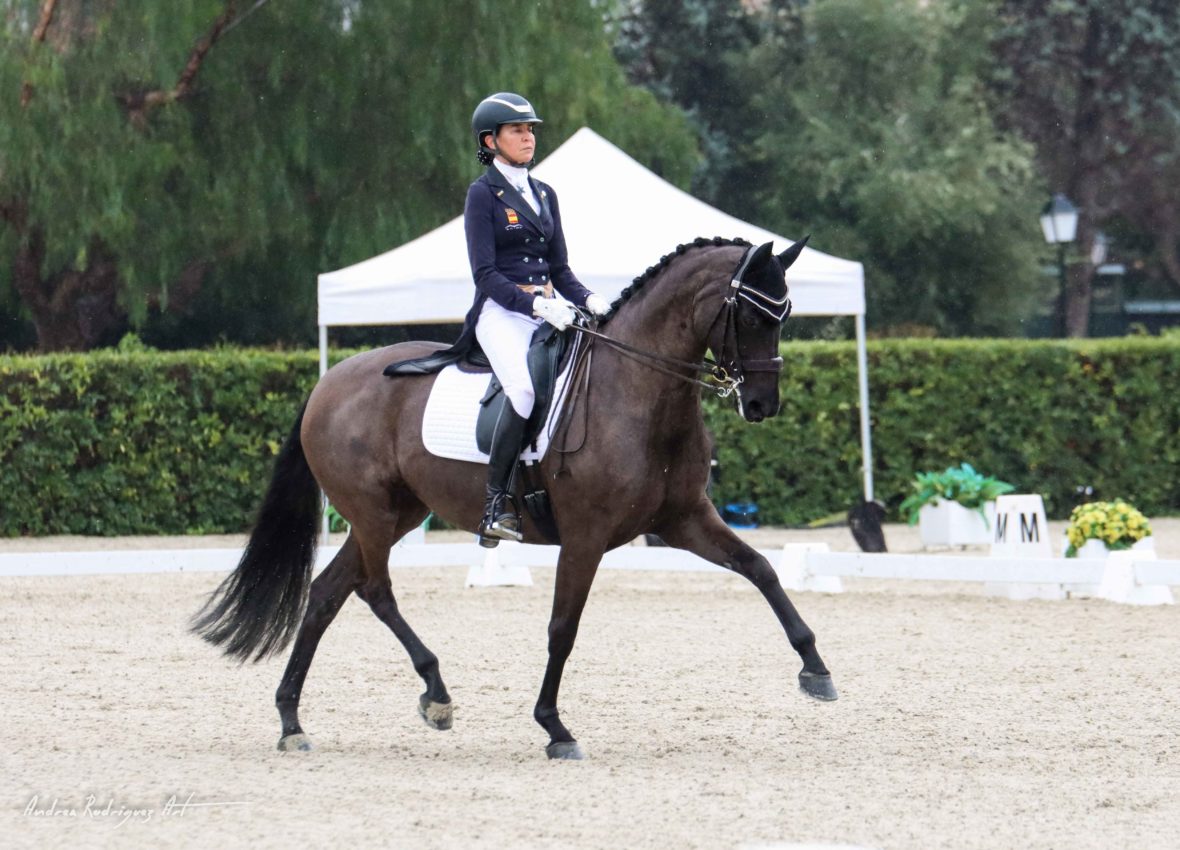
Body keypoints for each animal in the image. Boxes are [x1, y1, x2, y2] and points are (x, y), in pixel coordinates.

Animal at [193, 236, 835, 760]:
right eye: (749, 313)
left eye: (785, 312)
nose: (762, 404)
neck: (637, 391)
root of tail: (329, 381)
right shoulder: (585, 536)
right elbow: (562, 628)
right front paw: (555, 728)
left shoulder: (684, 520)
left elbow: (761, 568)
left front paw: (817, 670)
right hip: (374, 513)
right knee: (374, 590)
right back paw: (435, 694)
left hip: (397, 513)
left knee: (328, 593)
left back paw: (292, 722)